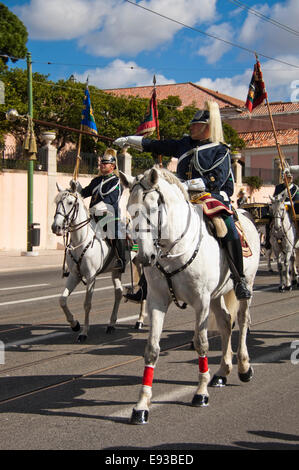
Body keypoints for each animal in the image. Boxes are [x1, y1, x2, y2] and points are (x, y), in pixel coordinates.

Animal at [51, 183, 145, 342]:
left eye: (70, 202)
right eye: (56, 202)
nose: (55, 227)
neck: (82, 240)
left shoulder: (91, 277)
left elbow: (87, 304)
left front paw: (84, 332)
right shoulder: (74, 275)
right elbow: (62, 300)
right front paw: (74, 324)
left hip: (141, 263)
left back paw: (139, 321)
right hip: (116, 270)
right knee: (119, 292)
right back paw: (111, 324)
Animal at [119, 167, 260, 424]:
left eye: (153, 209)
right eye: (130, 209)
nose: (143, 257)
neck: (173, 249)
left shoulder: (200, 301)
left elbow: (201, 343)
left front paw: (200, 393)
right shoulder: (157, 301)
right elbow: (152, 349)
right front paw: (142, 405)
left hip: (246, 285)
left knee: (243, 321)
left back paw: (244, 368)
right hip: (216, 295)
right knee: (226, 322)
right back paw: (222, 371)